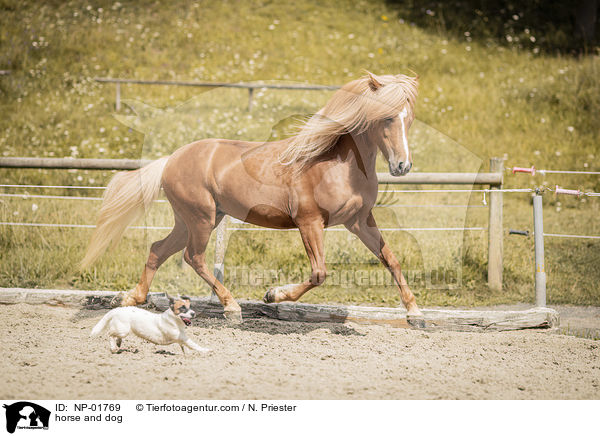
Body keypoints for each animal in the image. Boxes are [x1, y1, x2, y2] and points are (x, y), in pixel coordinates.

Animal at [81, 71, 426, 326]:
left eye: (408, 118)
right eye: (386, 118)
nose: (402, 166)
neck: (335, 165)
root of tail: (170, 160)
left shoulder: (359, 221)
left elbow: (391, 260)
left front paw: (415, 314)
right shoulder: (309, 222)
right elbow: (319, 273)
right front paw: (272, 295)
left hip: (193, 220)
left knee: (158, 250)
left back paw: (129, 298)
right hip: (201, 218)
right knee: (194, 257)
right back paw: (232, 308)